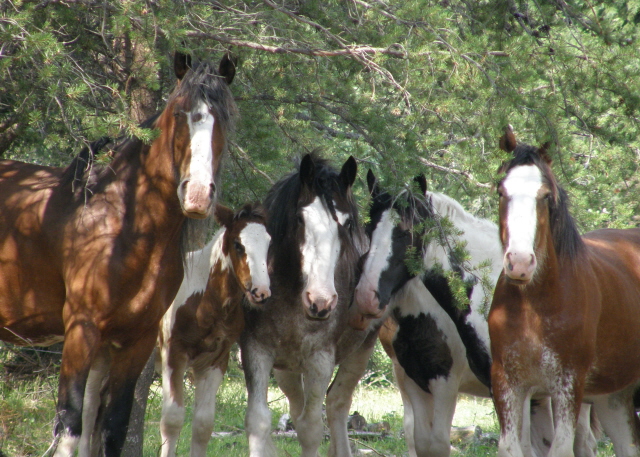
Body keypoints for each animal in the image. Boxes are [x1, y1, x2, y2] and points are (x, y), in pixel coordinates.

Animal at [0, 51, 238, 454]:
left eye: (223, 117)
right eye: (178, 112)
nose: (197, 194)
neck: (119, 222)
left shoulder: (135, 342)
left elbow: (112, 428)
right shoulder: (81, 332)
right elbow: (71, 426)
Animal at [158, 203, 272, 456]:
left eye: (269, 244)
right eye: (238, 245)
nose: (261, 292)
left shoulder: (215, 360)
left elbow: (203, 424)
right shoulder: (173, 353)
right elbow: (172, 419)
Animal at [239, 154, 380, 456]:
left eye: (347, 223)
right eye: (300, 219)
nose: (320, 301)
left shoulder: (320, 359)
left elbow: (311, 427)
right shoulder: (255, 349)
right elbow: (258, 421)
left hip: (362, 347)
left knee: (337, 404)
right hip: (286, 368)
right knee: (298, 405)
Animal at [488, 125, 640, 457]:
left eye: (545, 195)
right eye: (501, 191)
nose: (520, 263)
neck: (536, 305)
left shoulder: (569, 384)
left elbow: (560, 447)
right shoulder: (509, 383)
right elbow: (511, 446)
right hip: (614, 397)